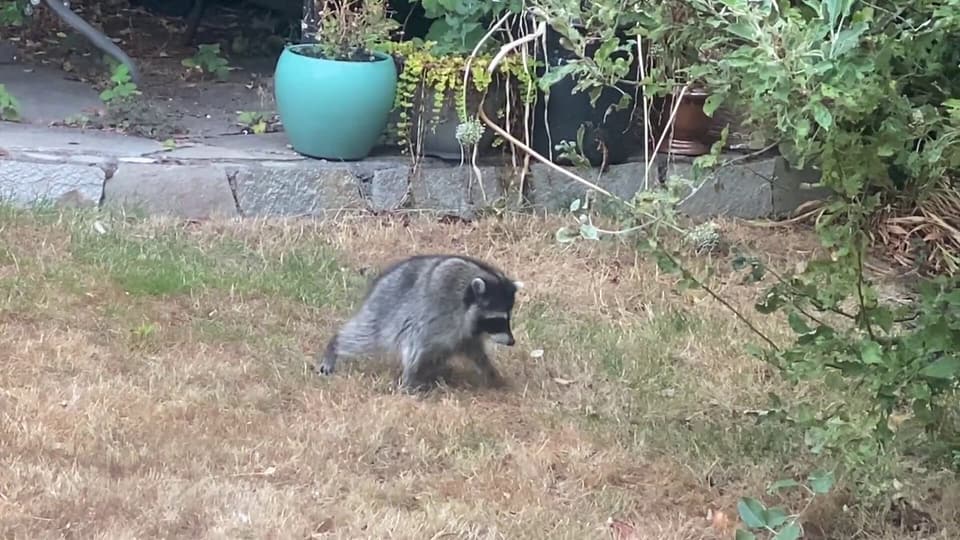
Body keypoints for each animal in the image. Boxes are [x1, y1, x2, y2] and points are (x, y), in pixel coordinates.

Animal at [315, 254, 523, 391]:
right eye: (496, 320)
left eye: (508, 318)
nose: (512, 341)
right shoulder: (434, 315)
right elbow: (415, 345)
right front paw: (409, 379)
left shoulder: (467, 332)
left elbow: (474, 350)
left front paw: (491, 373)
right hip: (384, 310)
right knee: (365, 335)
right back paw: (335, 345)